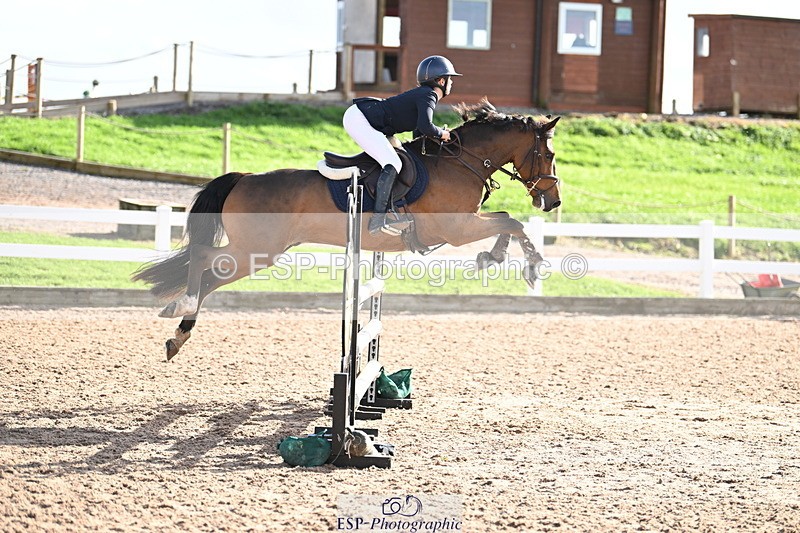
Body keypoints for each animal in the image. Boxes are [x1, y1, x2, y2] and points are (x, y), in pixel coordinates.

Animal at [133, 98, 561, 360]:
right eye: (549, 154)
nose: (553, 202)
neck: (459, 162)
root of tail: (245, 178)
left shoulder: (461, 227)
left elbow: (507, 220)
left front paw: (494, 256)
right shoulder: (455, 229)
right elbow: (511, 220)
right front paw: (529, 264)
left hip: (254, 254)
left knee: (211, 276)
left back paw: (179, 331)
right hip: (255, 251)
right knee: (203, 258)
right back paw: (182, 307)